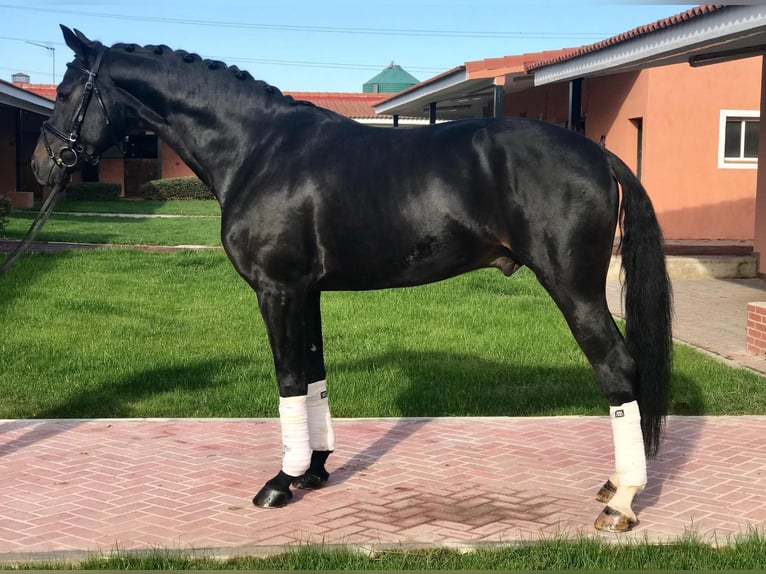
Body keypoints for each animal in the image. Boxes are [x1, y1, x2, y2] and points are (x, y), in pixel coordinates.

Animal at [32, 26, 672, 533]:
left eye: (64, 93)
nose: (42, 168)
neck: (259, 150)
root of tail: (598, 153)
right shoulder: (306, 292)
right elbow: (314, 376)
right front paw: (314, 470)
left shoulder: (278, 290)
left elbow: (289, 377)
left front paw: (280, 482)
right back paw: (613, 487)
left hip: (575, 288)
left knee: (617, 369)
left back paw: (622, 502)